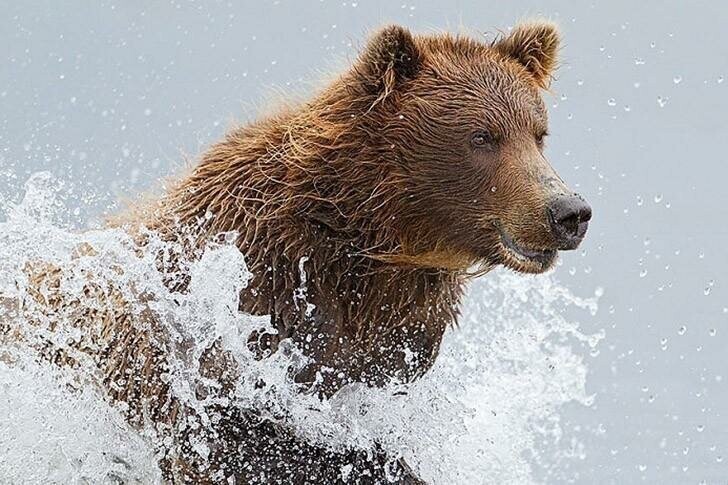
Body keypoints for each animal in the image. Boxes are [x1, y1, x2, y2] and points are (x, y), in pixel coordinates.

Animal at [1, 19, 592, 484]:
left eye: (538, 132)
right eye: (482, 137)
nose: (568, 211)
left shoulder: (392, 339)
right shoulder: (238, 297)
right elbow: (240, 430)